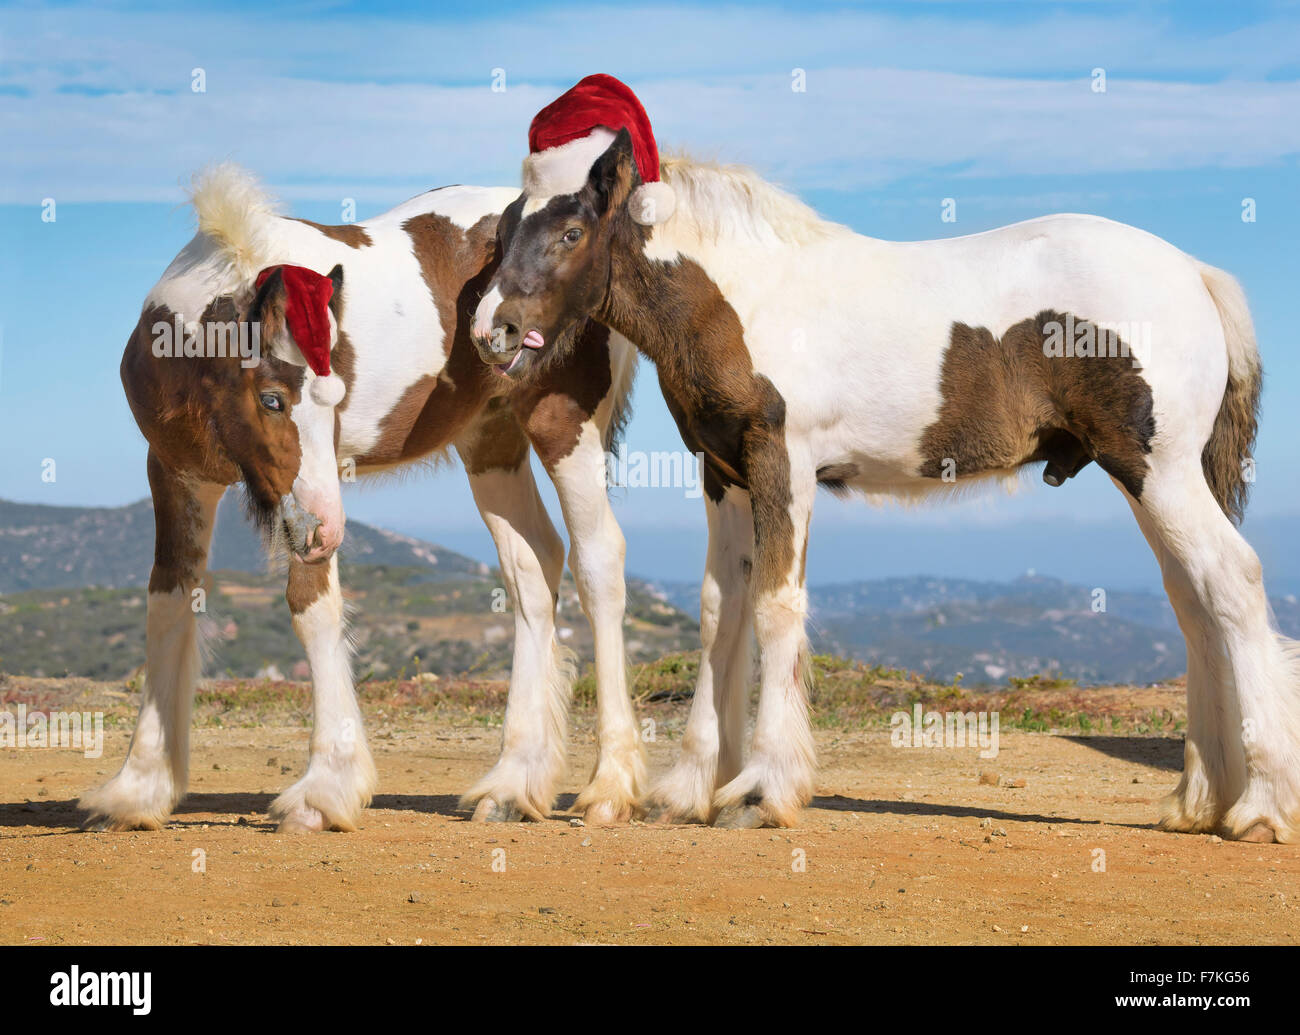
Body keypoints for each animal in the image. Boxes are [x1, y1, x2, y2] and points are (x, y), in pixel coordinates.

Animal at [81, 163, 647, 833]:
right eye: (271, 399)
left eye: (335, 395)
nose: (328, 529)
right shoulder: (177, 474)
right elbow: (169, 603)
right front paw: (139, 788)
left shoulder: (306, 503)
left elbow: (312, 608)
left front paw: (325, 789)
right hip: (489, 440)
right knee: (534, 568)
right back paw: (512, 786)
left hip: (564, 426)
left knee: (597, 561)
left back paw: (610, 786)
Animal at [471, 126, 1300, 844]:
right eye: (503, 231)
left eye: (570, 232)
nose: (491, 331)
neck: (746, 294)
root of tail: (1195, 273)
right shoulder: (726, 473)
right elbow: (720, 611)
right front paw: (689, 790)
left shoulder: (784, 464)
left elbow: (776, 607)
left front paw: (763, 790)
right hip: (1152, 479)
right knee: (1196, 603)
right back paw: (1199, 800)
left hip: (1158, 472)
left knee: (1233, 582)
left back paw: (1259, 805)